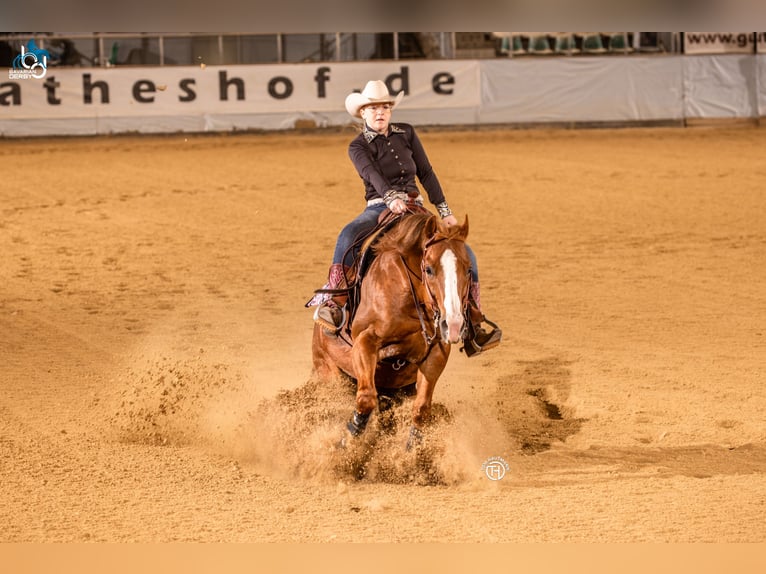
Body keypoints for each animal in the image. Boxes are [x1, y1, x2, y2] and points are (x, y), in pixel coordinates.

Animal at [311, 211, 472, 449]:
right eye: (428, 269)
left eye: (469, 269)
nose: (452, 325)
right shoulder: (365, 341)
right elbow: (366, 400)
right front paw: (346, 444)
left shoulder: (437, 352)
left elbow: (421, 409)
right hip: (329, 373)